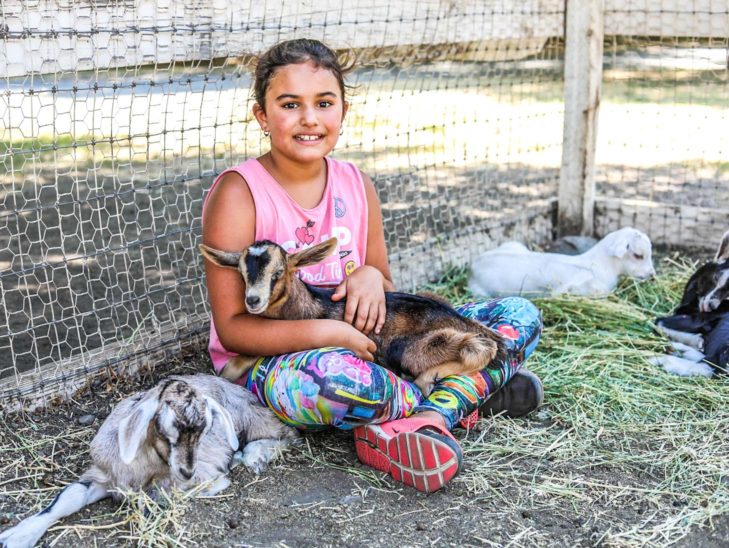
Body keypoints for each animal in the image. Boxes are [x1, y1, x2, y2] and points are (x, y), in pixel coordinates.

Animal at [0, 372, 298, 548]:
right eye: (166, 430)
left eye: (204, 431)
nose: (187, 472)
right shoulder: (104, 475)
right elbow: (65, 499)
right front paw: (16, 537)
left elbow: (163, 494)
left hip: (252, 418)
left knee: (287, 434)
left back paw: (253, 455)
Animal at [199, 235, 506, 394]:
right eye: (241, 273)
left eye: (278, 272)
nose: (253, 300)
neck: (310, 302)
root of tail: (457, 318)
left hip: (405, 348)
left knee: (480, 348)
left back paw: (424, 379)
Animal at [648, 230, 728, 376]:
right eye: (716, 277)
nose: (712, 306)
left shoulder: (698, 319)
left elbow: (658, 322)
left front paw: (697, 341)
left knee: (710, 365)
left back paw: (663, 360)